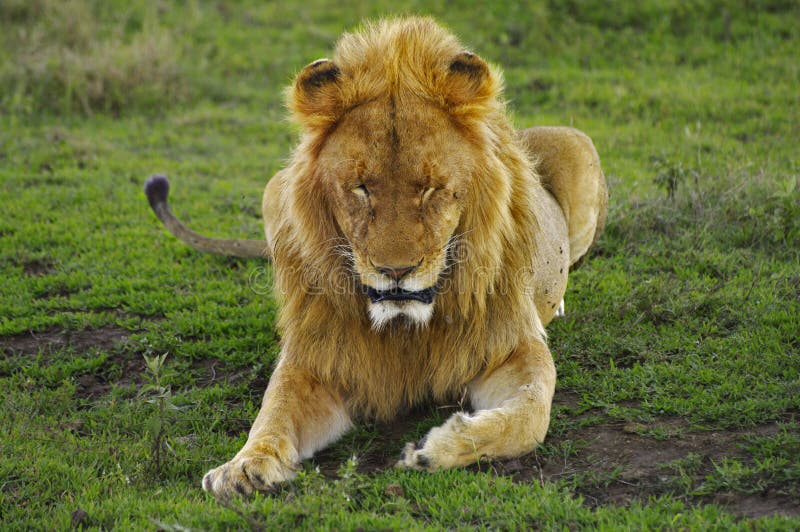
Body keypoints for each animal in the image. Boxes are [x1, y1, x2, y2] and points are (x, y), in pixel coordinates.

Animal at [144, 17, 608, 498]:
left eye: (432, 188)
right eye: (361, 187)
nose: (395, 271)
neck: (405, 329)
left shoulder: (511, 347)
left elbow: (529, 416)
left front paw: (434, 450)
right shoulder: (319, 359)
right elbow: (273, 412)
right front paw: (243, 466)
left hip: (578, 143)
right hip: (272, 188)